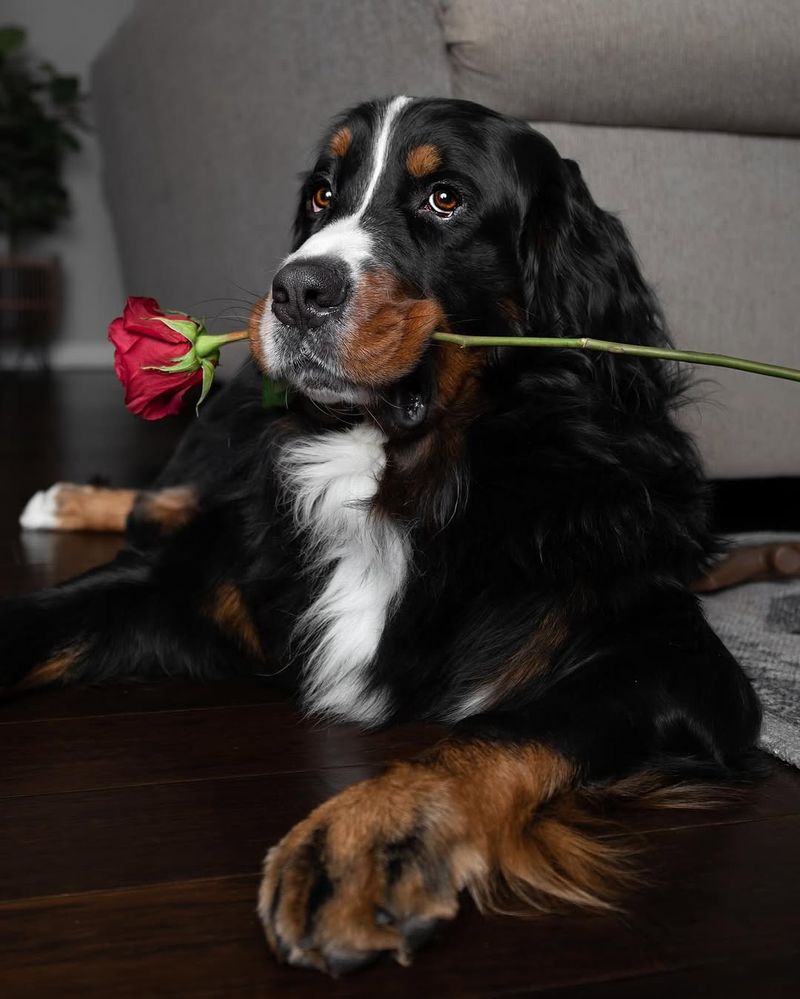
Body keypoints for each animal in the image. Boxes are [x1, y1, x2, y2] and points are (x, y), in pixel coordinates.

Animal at [1, 99, 764, 976]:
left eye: (445, 199)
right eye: (321, 195)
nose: (296, 288)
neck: (398, 474)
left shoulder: (677, 659)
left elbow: (498, 731)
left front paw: (370, 840)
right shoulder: (189, 577)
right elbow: (37, 614)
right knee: (162, 503)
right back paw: (64, 499)